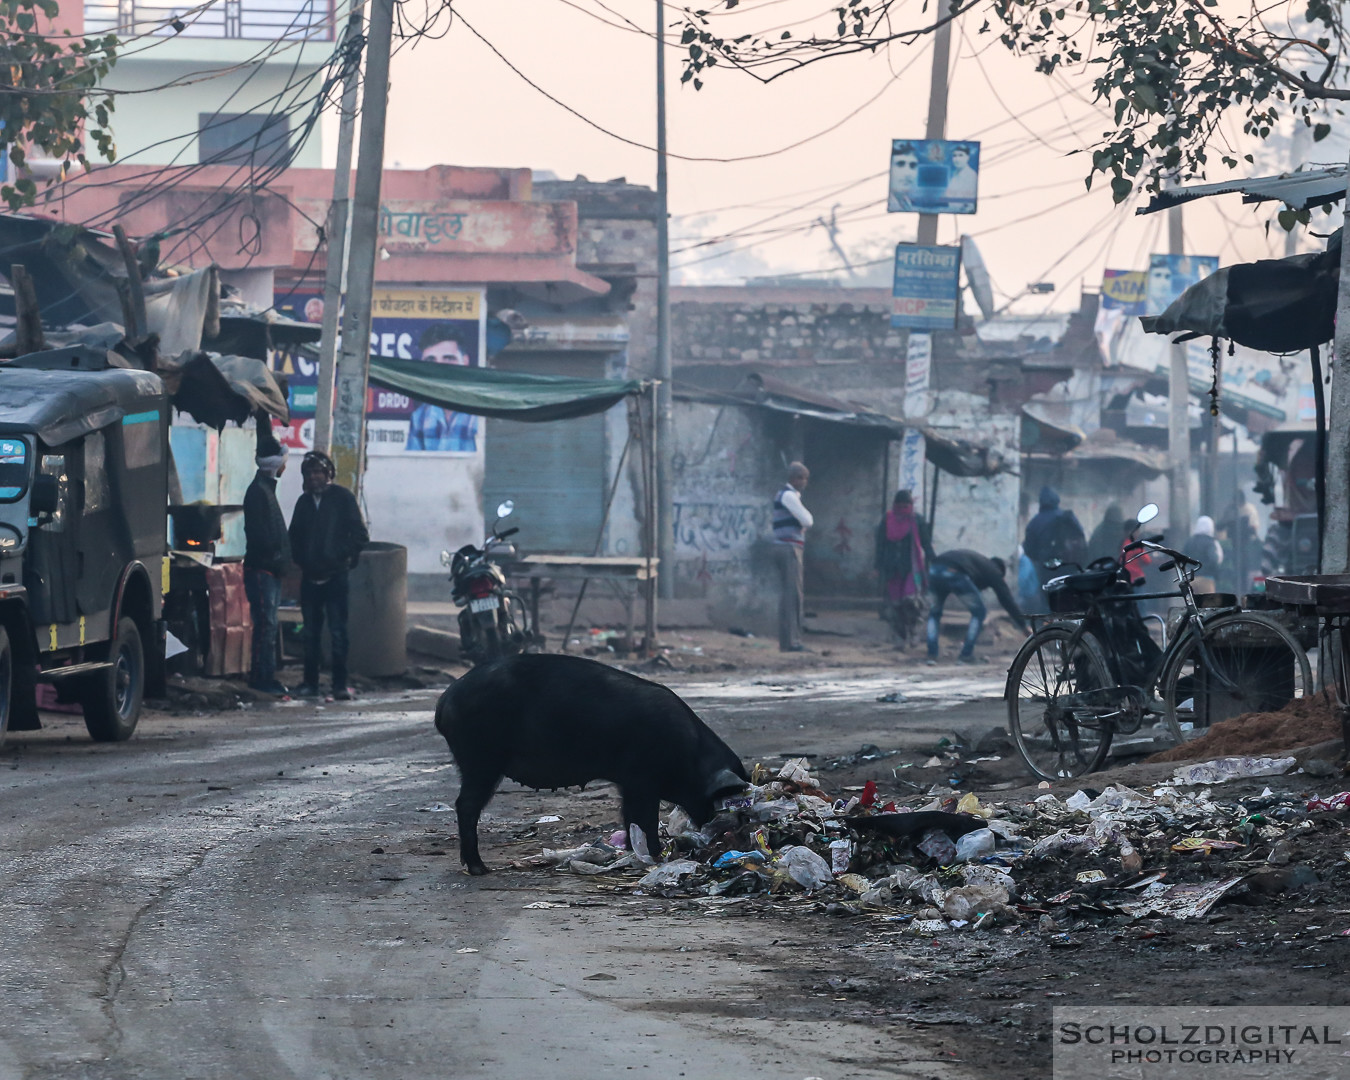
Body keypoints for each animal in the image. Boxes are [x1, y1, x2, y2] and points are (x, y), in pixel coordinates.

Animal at [432, 650, 750, 874]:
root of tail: (445, 699)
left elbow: (631, 817)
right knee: (466, 805)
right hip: (480, 758)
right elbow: (644, 818)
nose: (730, 836)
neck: (690, 755)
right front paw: (656, 854)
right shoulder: (641, 780)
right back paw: (479, 869)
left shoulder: (629, 783)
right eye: (722, 800)